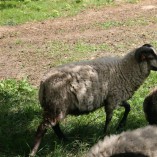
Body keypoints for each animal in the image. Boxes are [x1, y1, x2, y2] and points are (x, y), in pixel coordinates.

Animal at [29, 43, 157, 156]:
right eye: (151, 57)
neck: (124, 69)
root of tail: (43, 83)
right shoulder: (112, 99)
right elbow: (109, 118)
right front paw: (105, 134)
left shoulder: (114, 98)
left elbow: (128, 107)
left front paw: (121, 125)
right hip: (57, 105)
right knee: (43, 128)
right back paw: (33, 152)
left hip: (55, 107)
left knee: (54, 126)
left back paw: (65, 140)